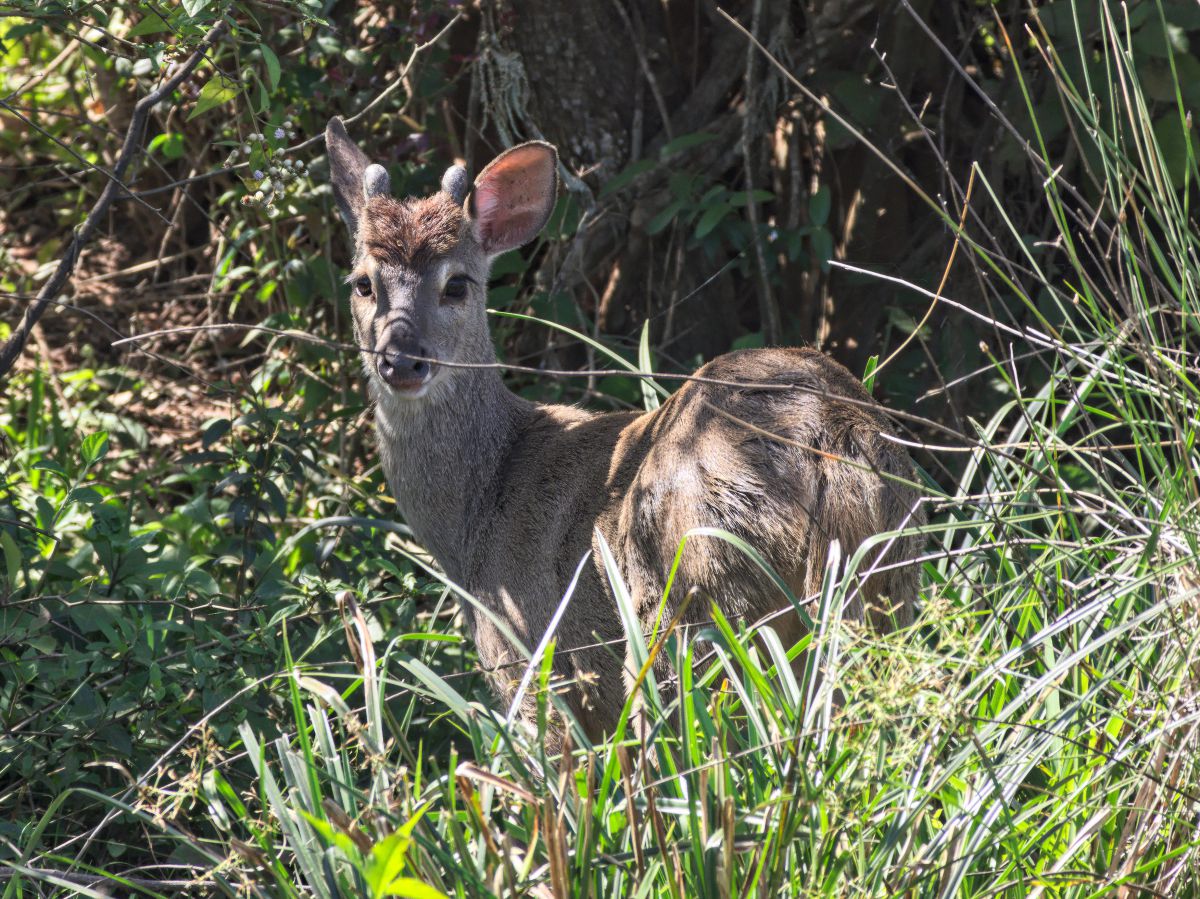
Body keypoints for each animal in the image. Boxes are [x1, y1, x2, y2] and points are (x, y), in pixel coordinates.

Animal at [324, 117, 925, 748]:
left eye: (457, 284)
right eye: (362, 283)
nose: (401, 360)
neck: (477, 513)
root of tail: (827, 438)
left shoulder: (536, 672)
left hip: (691, 607)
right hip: (887, 586)